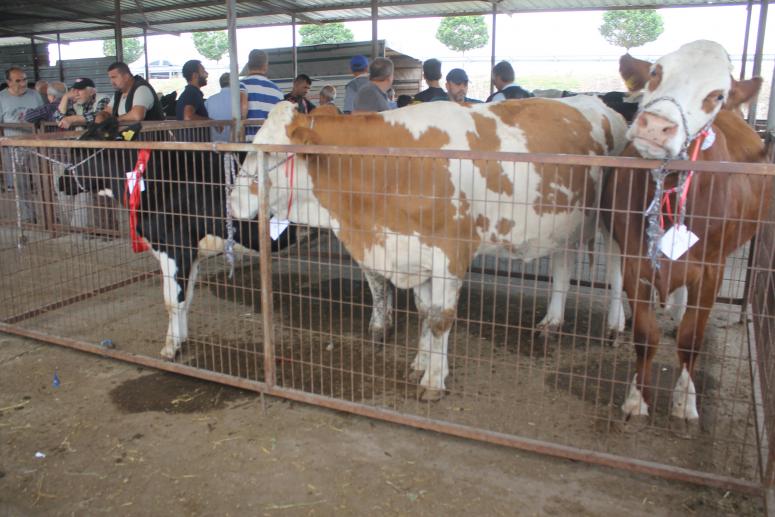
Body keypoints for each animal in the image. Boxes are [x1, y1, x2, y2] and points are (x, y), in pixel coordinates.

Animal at [57, 117, 298, 358]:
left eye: (79, 151)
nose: (60, 182)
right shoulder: (192, 254)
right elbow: (186, 298)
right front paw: (180, 339)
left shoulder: (174, 247)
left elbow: (172, 301)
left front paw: (170, 349)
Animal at [232, 94, 632, 398]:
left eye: (267, 152)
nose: (232, 200)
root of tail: (599, 102)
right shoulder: (413, 253)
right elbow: (425, 312)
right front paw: (420, 365)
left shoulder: (450, 255)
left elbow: (441, 319)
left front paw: (435, 381)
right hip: (566, 221)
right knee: (563, 264)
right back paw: (552, 321)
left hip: (612, 218)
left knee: (616, 269)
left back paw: (616, 326)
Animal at [600, 40, 768, 426]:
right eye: (655, 72)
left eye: (718, 95)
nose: (656, 126)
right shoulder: (635, 261)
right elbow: (645, 335)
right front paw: (637, 399)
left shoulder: (712, 269)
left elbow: (692, 338)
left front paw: (685, 402)